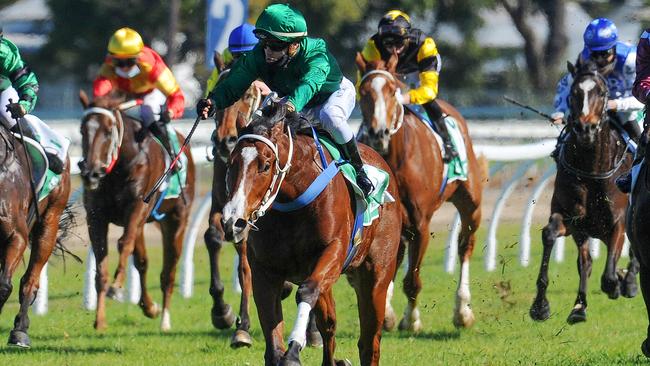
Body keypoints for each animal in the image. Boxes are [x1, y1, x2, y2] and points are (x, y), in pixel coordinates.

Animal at [79, 91, 195, 332]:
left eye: (108, 131)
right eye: (82, 130)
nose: (90, 174)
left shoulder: (137, 207)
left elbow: (123, 244)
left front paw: (117, 287)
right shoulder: (96, 216)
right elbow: (102, 266)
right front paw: (100, 320)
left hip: (176, 219)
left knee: (169, 271)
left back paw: (165, 319)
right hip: (142, 225)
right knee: (142, 261)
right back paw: (150, 307)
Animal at [221, 103, 400, 366]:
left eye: (265, 165)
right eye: (231, 164)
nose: (233, 222)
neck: (293, 202)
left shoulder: (333, 251)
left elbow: (306, 291)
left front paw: (294, 351)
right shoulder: (265, 271)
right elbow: (273, 340)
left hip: (376, 273)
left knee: (369, 343)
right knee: (329, 323)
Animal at [354, 53, 480, 330]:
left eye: (392, 91)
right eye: (364, 92)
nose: (378, 133)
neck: (397, 158)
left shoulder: (421, 224)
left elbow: (412, 281)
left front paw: (411, 320)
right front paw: (388, 314)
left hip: (471, 203)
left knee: (465, 246)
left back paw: (463, 310)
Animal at [528, 61, 636, 324]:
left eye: (602, 92)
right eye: (573, 92)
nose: (585, 128)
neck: (592, 169)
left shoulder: (618, 221)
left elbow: (608, 275)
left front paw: (617, 282)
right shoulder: (574, 221)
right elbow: (551, 235)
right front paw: (541, 306)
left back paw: (628, 282)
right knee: (585, 262)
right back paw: (579, 307)